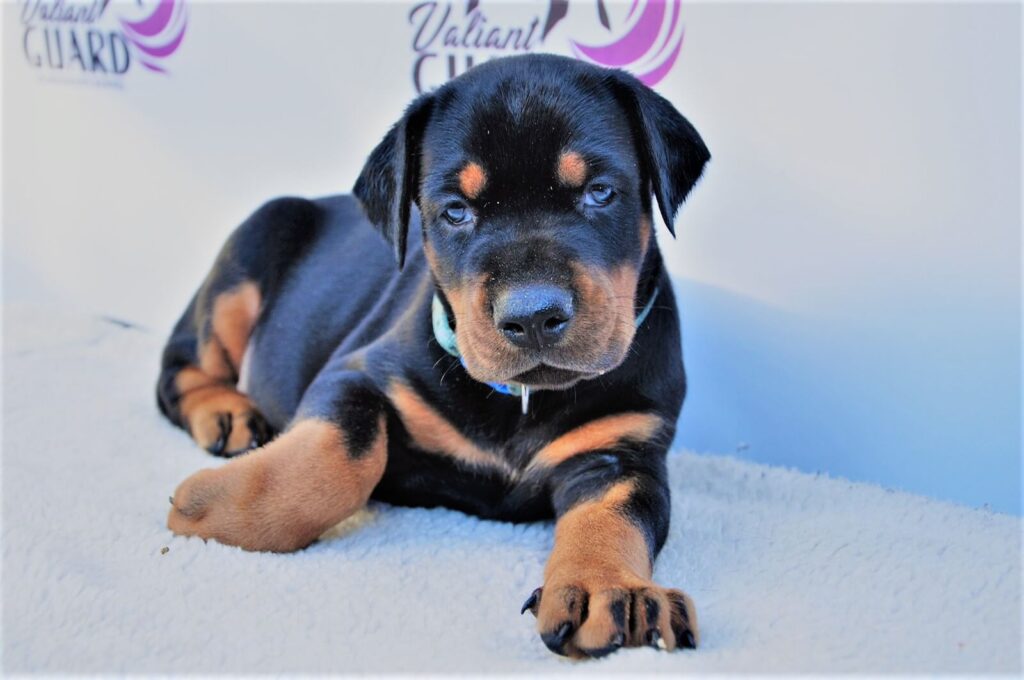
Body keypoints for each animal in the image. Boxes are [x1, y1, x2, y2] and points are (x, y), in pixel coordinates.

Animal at [159, 53, 708, 659]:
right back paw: (225, 413)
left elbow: (616, 515)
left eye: (601, 192)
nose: (533, 316)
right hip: (249, 257)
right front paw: (220, 506)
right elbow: (343, 450)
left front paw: (610, 588)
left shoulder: (624, 448)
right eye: (455, 212)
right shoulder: (356, 374)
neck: (522, 397)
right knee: (180, 365)